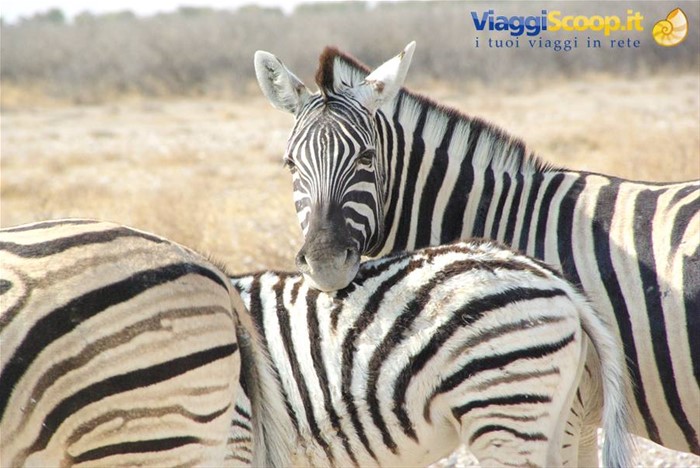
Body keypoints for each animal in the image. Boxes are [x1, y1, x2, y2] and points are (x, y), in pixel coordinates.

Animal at [253, 42, 700, 458]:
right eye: (290, 164)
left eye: (366, 157)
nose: (325, 263)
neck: (503, 216)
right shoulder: (581, 415)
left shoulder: (569, 407)